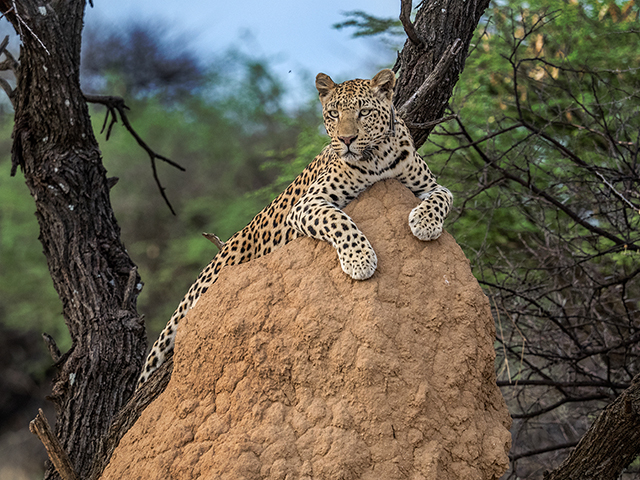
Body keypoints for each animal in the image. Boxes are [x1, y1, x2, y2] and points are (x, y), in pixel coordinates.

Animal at [138, 68, 452, 386]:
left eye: (364, 112)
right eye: (334, 113)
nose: (347, 139)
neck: (378, 158)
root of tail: (228, 245)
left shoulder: (429, 185)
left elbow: (443, 198)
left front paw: (425, 223)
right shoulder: (307, 203)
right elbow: (340, 221)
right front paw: (360, 261)